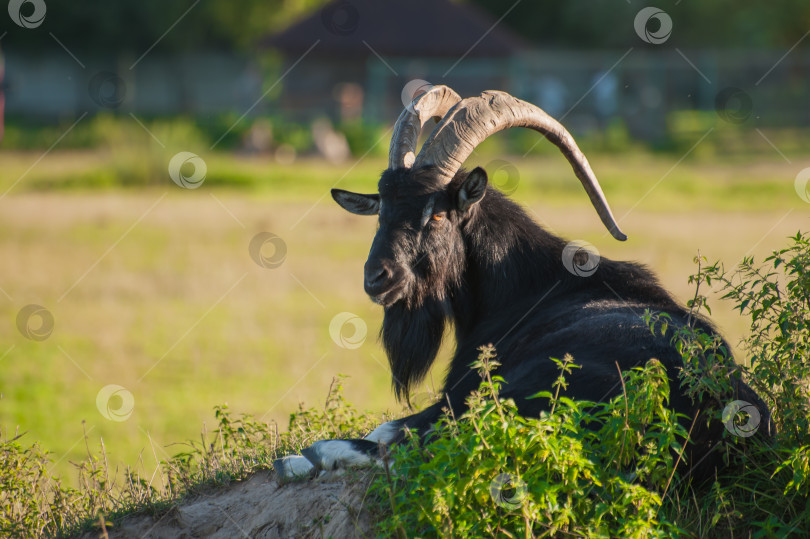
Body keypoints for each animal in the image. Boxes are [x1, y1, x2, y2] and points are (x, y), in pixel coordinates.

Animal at [274, 86, 772, 484]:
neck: (526, 284)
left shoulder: (460, 394)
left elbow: (395, 430)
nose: (377, 278)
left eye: (437, 213)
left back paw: (302, 458)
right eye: (381, 209)